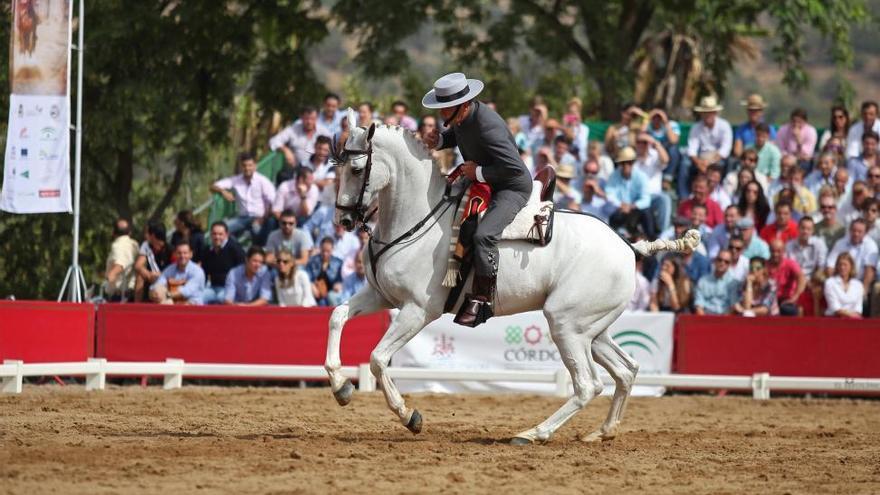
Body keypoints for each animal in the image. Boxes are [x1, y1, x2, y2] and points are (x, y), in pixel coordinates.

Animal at [324, 109, 700, 446]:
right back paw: (602, 432)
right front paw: (341, 386)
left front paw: (408, 415)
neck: (418, 220)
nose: (343, 220)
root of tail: (628, 246)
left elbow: (377, 359)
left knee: (587, 384)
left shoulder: (417, 311)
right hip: (592, 330)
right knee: (626, 370)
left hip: (566, 325)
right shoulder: (381, 295)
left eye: (356, 169)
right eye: (337, 168)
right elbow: (337, 316)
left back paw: (534, 433)